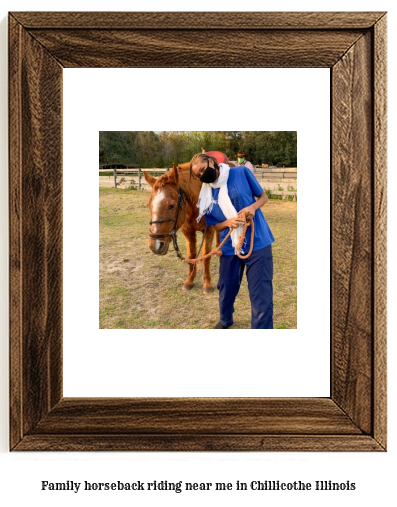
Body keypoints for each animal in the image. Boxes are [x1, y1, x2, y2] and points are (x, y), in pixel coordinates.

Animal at [143, 165, 217, 296]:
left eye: (171, 205)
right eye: (148, 205)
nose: (154, 245)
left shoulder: (209, 231)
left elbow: (206, 256)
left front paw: (207, 284)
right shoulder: (188, 232)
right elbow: (191, 255)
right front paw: (189, 281)